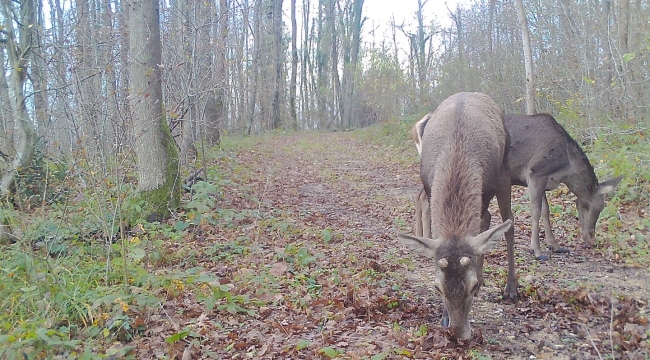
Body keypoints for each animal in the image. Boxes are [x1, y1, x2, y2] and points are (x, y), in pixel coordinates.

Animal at [394, 93, 516, 340]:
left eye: (472, 285)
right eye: (437, 287)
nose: (458, 333)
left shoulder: (485, 191)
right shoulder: (429, 187)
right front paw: (444, 317)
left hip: (504, 172)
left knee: (507, 223)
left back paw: (511, 288)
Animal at [410, 112, 624, 258]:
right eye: (598, 206)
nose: (591, 238)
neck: (566, 167)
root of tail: (417, 125)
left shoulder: (542, 179)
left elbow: (545, 211)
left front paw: (554, 245)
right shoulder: (536, 172)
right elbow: (535, 212)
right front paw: (537, 250)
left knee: (420, 195)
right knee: (425, 197)